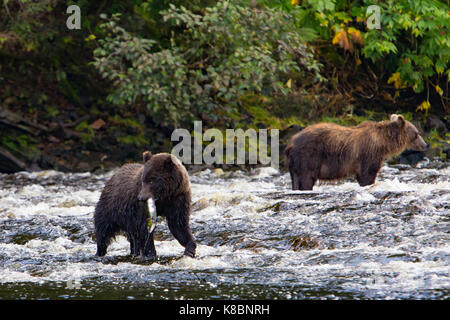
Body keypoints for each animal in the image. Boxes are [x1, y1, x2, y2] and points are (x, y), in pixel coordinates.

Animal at [286, 115, 428, 190]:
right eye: (417, 133)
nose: (425, 144)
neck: (383, 143)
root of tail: (291, 143)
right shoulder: (369, 154)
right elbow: (367, 175)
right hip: (309, 156)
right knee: (307, 178)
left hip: (294, 164)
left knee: (296, 180)